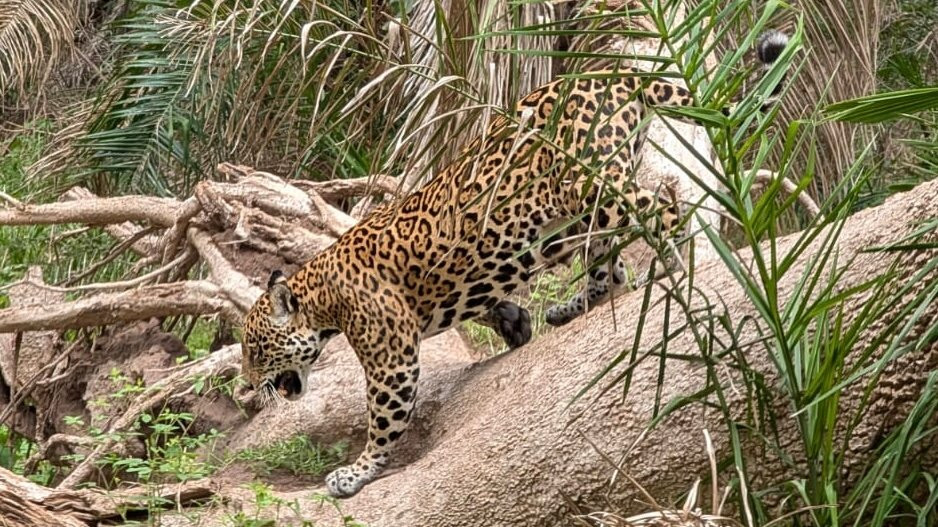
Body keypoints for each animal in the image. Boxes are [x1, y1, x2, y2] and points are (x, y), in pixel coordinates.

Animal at [240, 30, 790, 498]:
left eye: (256, 350)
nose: (247, 386)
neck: (322, 294)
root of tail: (611, 76)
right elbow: (482, 301)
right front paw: (514, 323)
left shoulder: (391, 358)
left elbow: (383, 419)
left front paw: (356, 472)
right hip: (583, 208)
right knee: (610, 267)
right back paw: (571, 307)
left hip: (592, 185)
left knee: (664, 208)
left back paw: (680, 262)